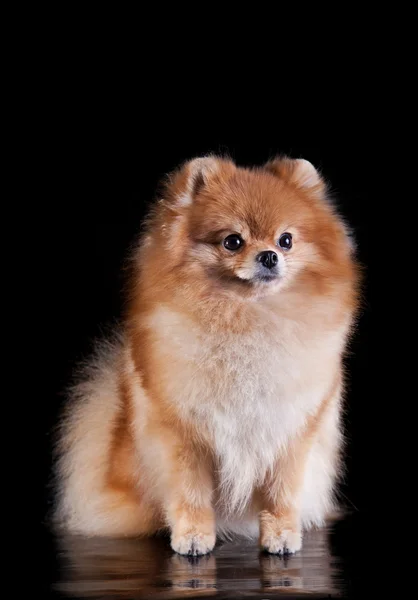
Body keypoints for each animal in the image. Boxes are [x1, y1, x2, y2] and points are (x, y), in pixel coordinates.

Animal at [52, 156, 360, 556]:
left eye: (286, 240)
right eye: (232, 241)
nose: (269, 256)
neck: (246, 319)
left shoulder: (292, 430)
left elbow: (281, 493)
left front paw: (281, 535)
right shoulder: (182, 433)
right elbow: (190, 492)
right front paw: (194, 536)